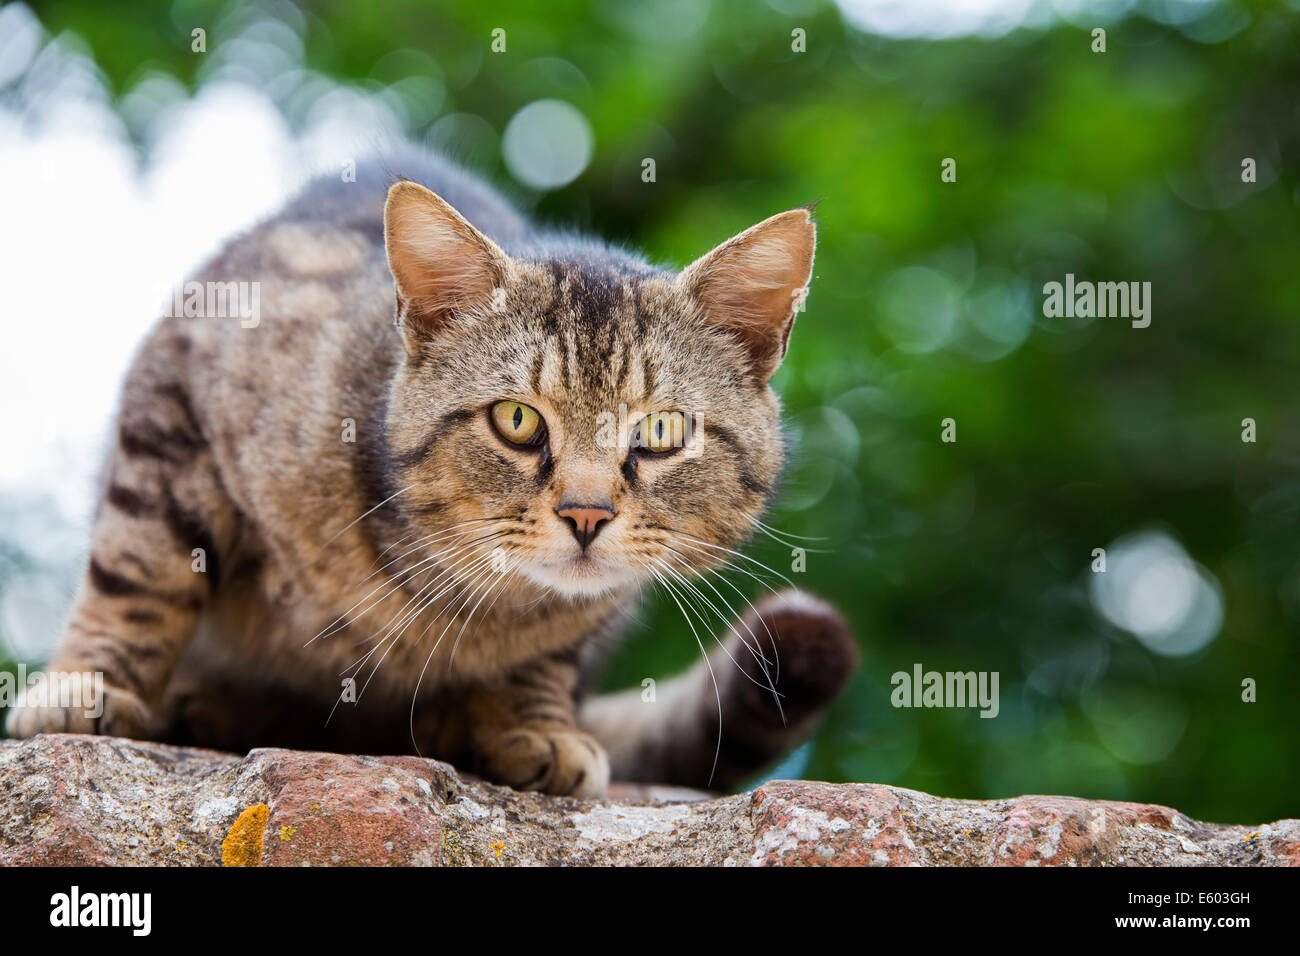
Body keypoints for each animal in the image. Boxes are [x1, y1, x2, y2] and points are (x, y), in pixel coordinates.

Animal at [12, 145, 863, 796]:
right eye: (517, 420)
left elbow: (545, 658)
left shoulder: (572, 628)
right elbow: (141, 571)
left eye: (660, 432)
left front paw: (532, 725)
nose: (587, 513)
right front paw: (89, 685)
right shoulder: (178, 382)